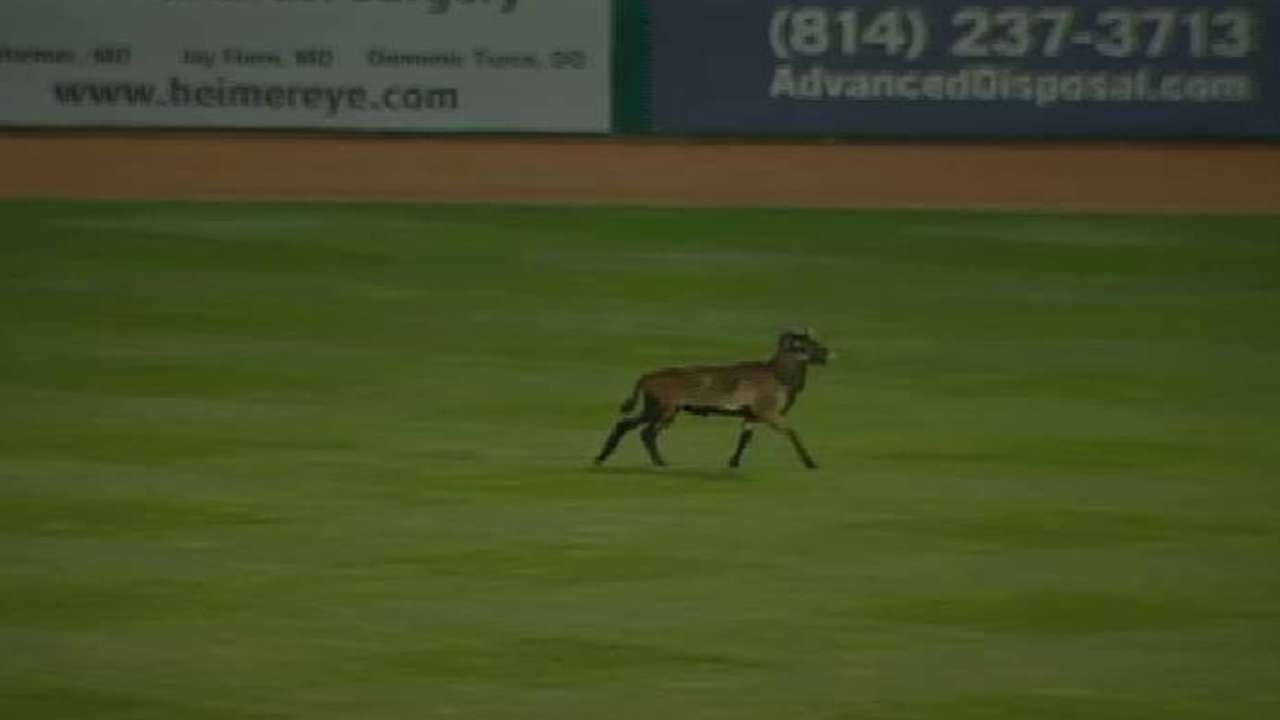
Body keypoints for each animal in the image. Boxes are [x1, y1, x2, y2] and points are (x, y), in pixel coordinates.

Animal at [593, 329, 832, 469]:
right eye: (806, 346)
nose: (828, 353)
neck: (779, 376)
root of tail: (644, 378)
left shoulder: (750, 415)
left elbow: (745, 438)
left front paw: (733, 463)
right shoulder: (768, 412)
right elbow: (792, 432)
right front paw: (811, 463)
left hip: (652, 408)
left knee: (625, 424)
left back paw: (601, 457)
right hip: (664, 410)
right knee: (647, 433)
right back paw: (661, 463)